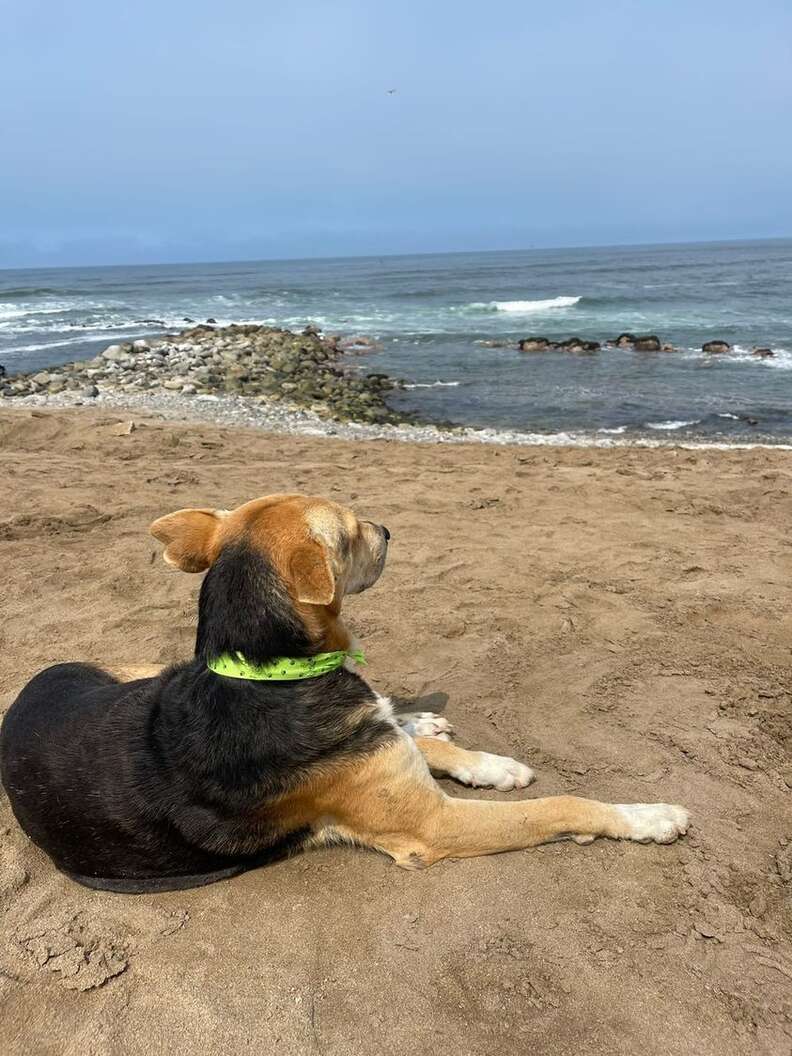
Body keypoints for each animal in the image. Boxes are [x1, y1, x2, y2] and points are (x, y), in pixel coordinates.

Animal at [0, 494, 692, 891]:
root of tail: (25, 692)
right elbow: (560, 807)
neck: (271, 671)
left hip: (144, 671)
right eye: (352, 532)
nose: (388, 529)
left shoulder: (372, 743)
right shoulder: (433, 826)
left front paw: (490, 764)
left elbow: (428, 747)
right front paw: (649, 817)